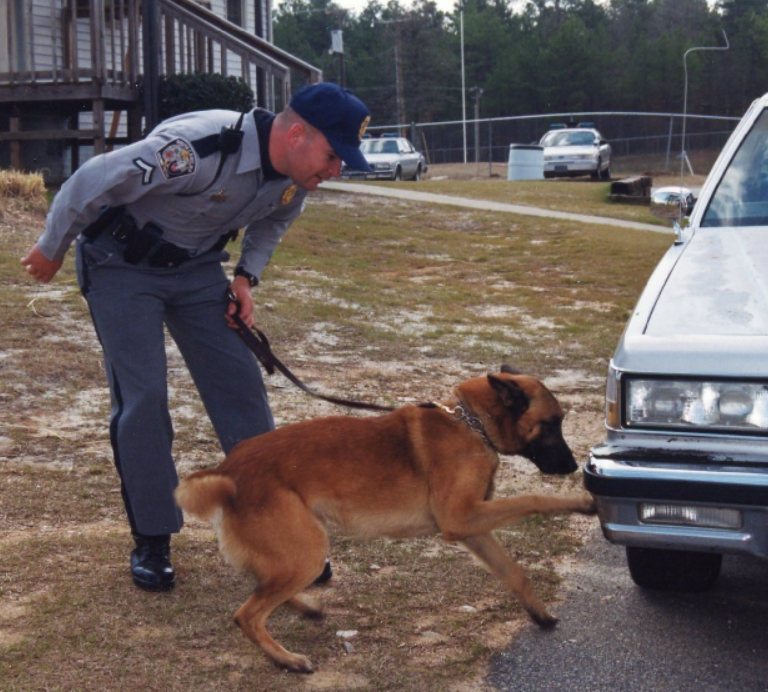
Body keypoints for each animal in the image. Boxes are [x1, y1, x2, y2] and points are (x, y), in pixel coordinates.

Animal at [177, 364, 596, 672]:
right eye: (552, 424)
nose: (572, 466)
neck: (471, 424)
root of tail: (228, 471)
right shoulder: (464, 518)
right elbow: (533, 497)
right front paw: (582, 501)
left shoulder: (472, 528)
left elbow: (513, 572)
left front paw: (541, 615)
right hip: (308, 551)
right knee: (247, 614)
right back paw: (287, 659)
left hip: (296, 552)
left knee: (261, 584)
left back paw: (305, 608)